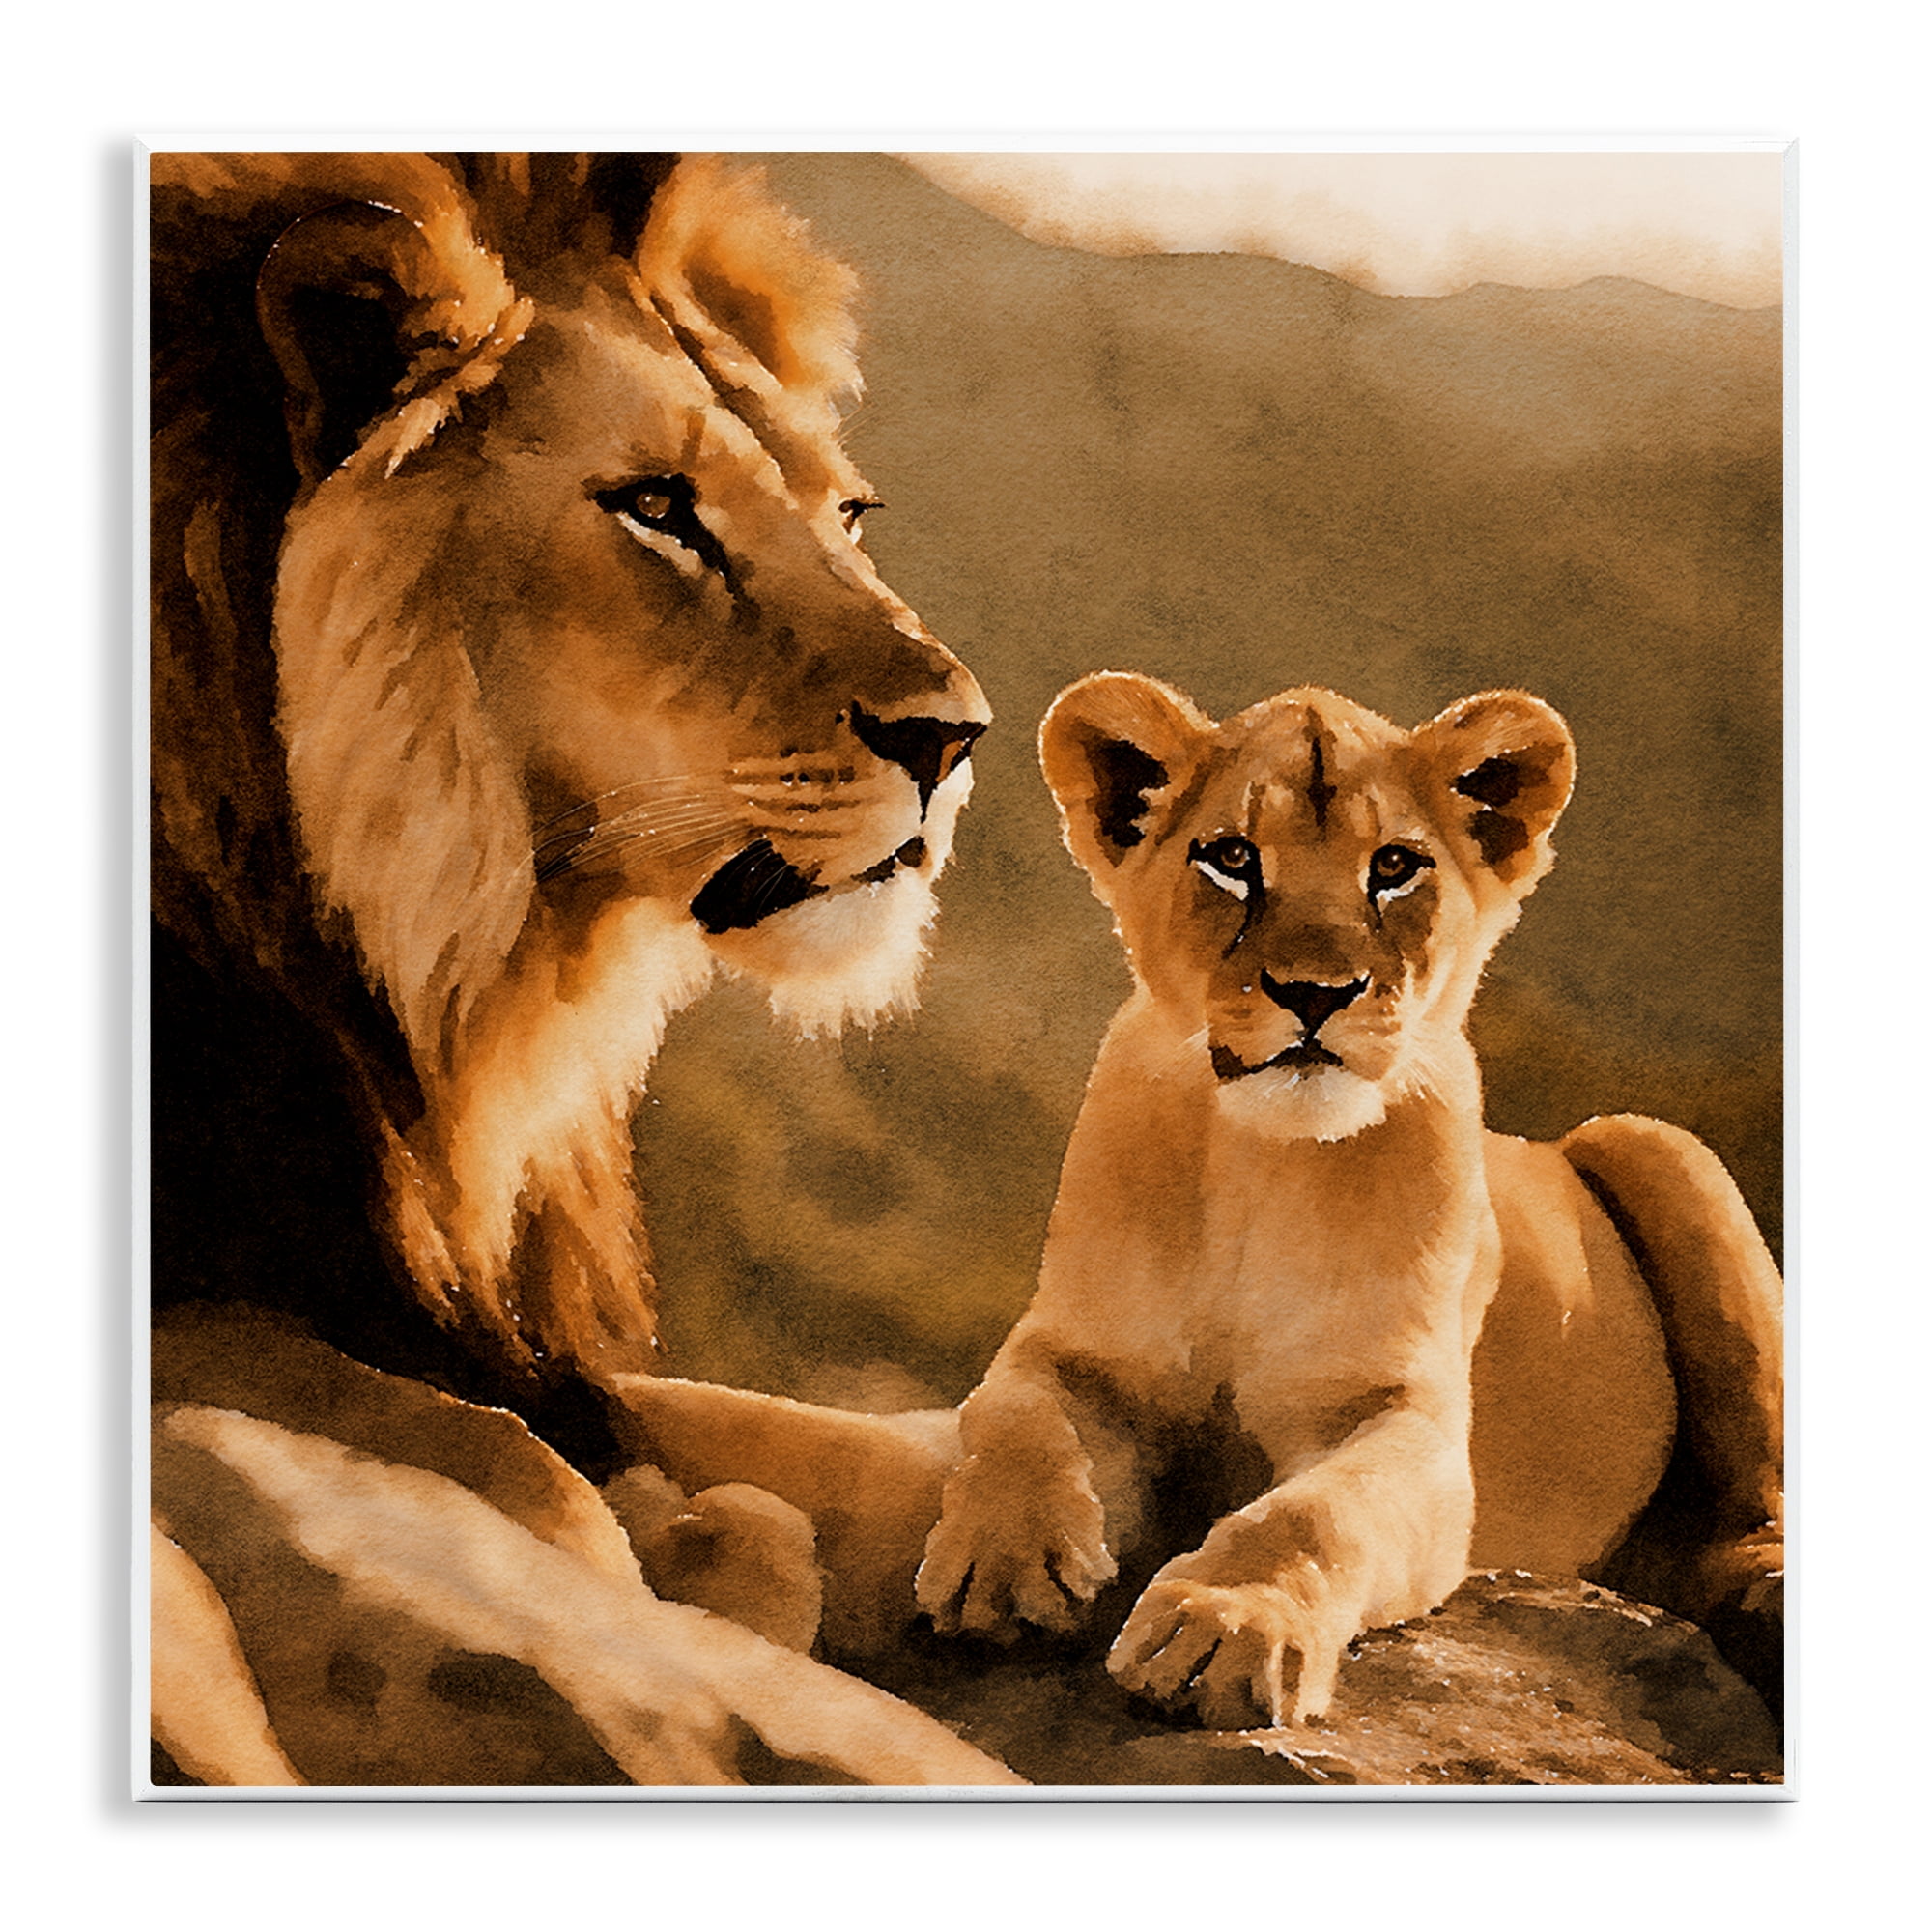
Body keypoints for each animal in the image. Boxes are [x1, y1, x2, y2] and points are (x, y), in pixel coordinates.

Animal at [148, 150, 1013, 1787]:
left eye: (848, 512)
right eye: (659, 508)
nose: (954, 738)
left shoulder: (493, 1330)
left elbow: (865, 1451)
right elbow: (533, 1484)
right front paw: (697, 1573)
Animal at [905, 672, 1784, 1731]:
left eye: (1394, 867)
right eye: (1232, 858)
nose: (1315, 991)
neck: (1263, 1165)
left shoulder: (1410, 1422)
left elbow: (1311, 1513)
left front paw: (1222, 1626)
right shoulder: (1074, 1348)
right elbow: (1014, 1419)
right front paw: (1003, 1563)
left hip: (1654, 1142)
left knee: (1761, 1498)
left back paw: (1761, 1588)